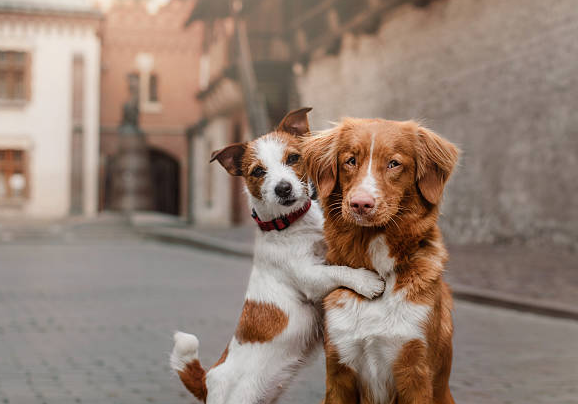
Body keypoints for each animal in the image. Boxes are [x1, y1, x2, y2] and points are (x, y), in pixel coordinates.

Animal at [171, 108, 388, 404]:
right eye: (258, 171)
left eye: (293, 158)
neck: (290, 224)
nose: (283, 188)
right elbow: (338, 270)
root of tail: (207, 381)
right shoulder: (310, 277)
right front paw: (366, 282)